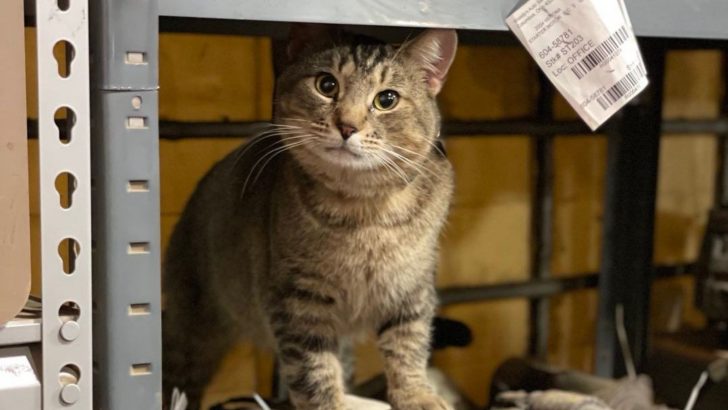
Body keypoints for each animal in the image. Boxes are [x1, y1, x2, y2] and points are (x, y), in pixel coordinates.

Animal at [164, 26, 458, 410]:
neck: (364, 215)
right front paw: (330, 403)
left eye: (387, 99)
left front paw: (417, 396)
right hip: (194, 325)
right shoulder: (299, 298)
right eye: (327, 85)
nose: (347, 126)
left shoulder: (411, 289)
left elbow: (408, 347)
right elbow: (314, 367)